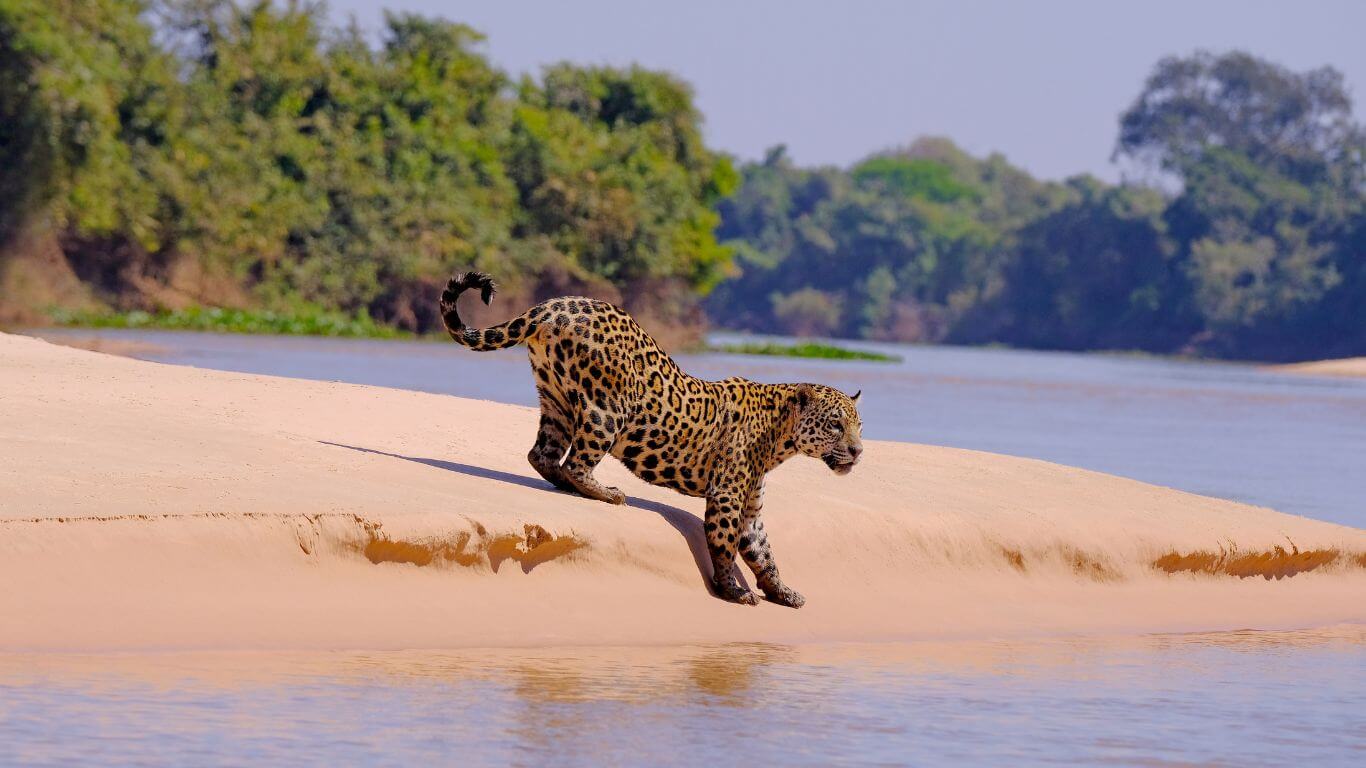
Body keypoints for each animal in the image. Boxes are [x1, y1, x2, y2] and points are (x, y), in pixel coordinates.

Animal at [439, 271, 864, 608]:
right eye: (836, 425)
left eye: (859, 426)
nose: (858, 451)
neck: (780, 436)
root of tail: (555, 304)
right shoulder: (726, 495)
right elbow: (724, 545)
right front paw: (733, 590)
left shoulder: (750, 509)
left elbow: (764, 554)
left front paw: (783, 591)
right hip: (607, 407)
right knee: (576, 462)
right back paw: (607, 493)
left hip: (555, 397)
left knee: (542, 454)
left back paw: (569, 483)